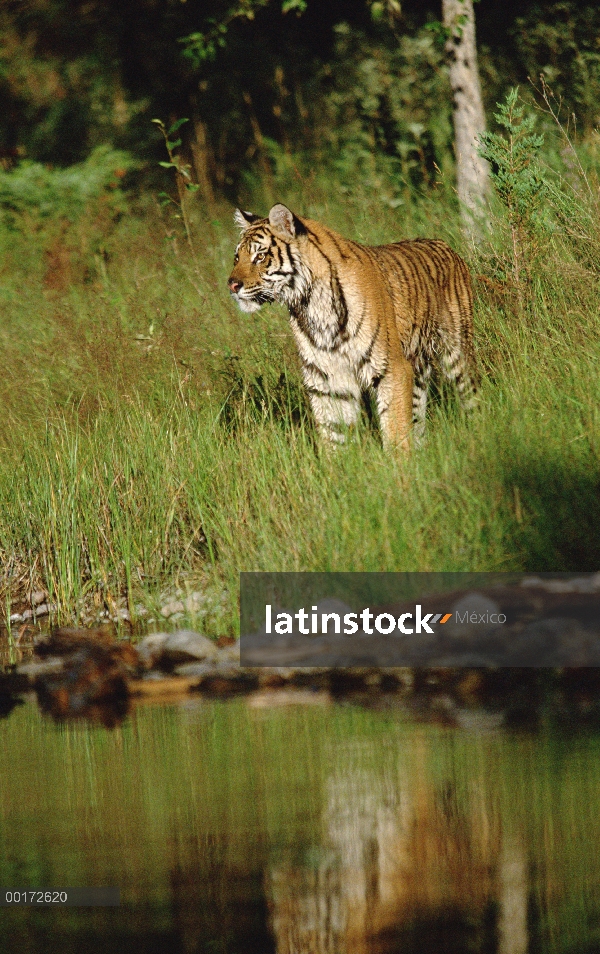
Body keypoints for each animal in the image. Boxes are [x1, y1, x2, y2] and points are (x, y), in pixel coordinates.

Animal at [226, 203, 478, 448]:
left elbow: (395, 432)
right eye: (237, 258)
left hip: (458, 354)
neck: (310, 302)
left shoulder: (391, 368)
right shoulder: (326, 378)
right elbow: (335, 435)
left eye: (260, 256)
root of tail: (442, 243)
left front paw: (398, 462)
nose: (232, 285)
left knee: (472, 394)